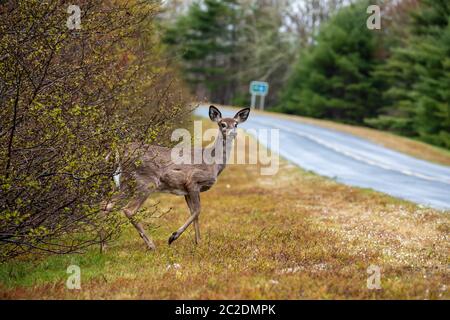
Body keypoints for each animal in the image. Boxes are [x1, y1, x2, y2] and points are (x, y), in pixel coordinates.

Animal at [102, 106, 250, 251]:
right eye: (222, 124)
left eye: (236, 124)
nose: (233, 133)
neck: (213, 162)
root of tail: (118, 151)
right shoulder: (193, 181)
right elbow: (198, 210)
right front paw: (173, 236)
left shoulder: (187, 190)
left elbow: (194, 212)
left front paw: (198, 242)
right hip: (145, 181)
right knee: (129, 210)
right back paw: (151, 245)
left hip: (125, 183)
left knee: (106, 204)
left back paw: (104, 247)